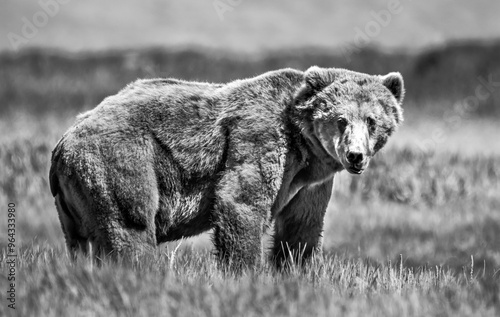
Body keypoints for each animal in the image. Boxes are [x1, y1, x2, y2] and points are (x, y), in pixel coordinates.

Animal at [48, 65, 404, 268]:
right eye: (340, 118)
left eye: (372, 120)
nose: (355, 156)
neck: (305, 147)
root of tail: (63, 140)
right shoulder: (259, 137)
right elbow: (241, 202)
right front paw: (244, 274)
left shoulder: (309, 181)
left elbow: (301, 228)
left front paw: (294, 273)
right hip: (122, 159)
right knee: (129, 226)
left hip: (75, 201)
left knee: (82, 245)